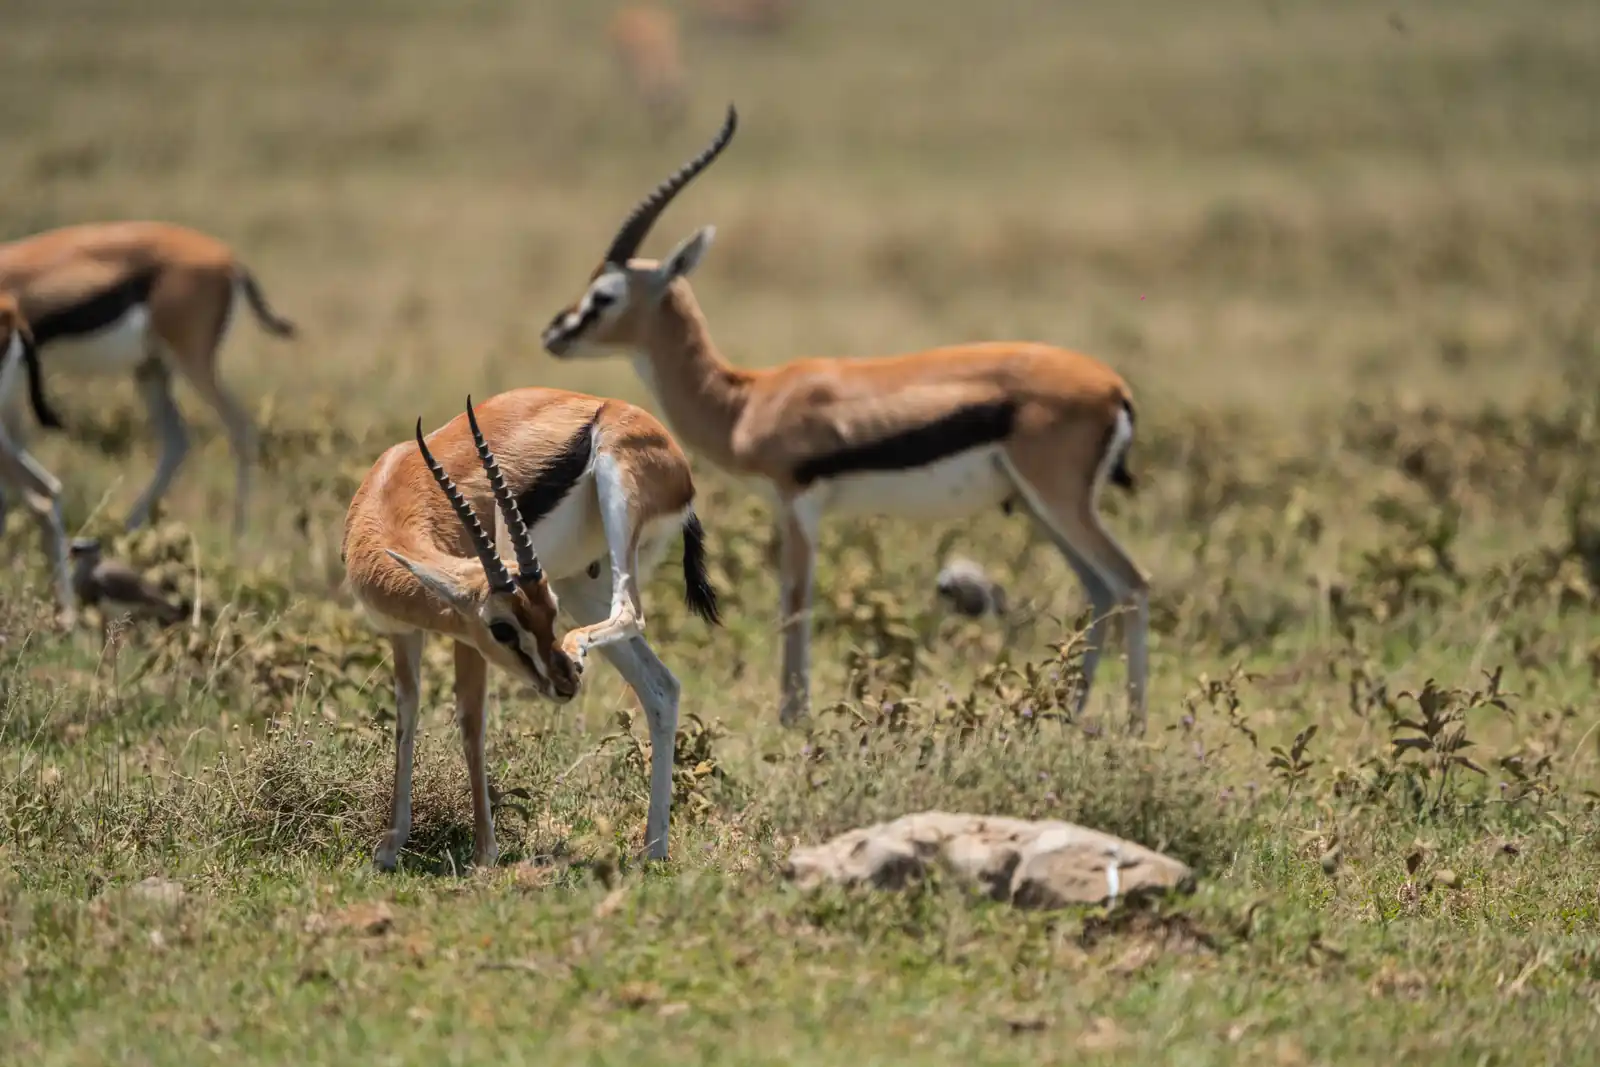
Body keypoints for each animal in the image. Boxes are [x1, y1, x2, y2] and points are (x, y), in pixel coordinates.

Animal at [0, 221, 297, 539]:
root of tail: (230, 259)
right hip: (150, 369)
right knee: (177, 441)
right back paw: (127, 527)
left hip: (193, 363)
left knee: (241, 428)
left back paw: (237, 537)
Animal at [341, 389, 720, 871]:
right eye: (504, 628)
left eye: (543, 617)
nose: (564, 683)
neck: (393, 491)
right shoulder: (403, 633)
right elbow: (406, 719)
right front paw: (390, 848)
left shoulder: (467, 638)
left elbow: (471, 721)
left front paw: (485, 851)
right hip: (579, 584)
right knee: (661, 687)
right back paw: (652, 850)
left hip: (616, 507)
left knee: (631, 612)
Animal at [540, 104, 1151, 732]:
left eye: (605, 295)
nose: (554, 333)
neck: (747, 400)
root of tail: (1115, 388)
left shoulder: (797, 505)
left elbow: (795, 601)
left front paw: (792, 718)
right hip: (1039, 505)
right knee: (1101, 589)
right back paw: (1072, 711)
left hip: (1059, 501)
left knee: (1132, 583)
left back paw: (1132, 722)